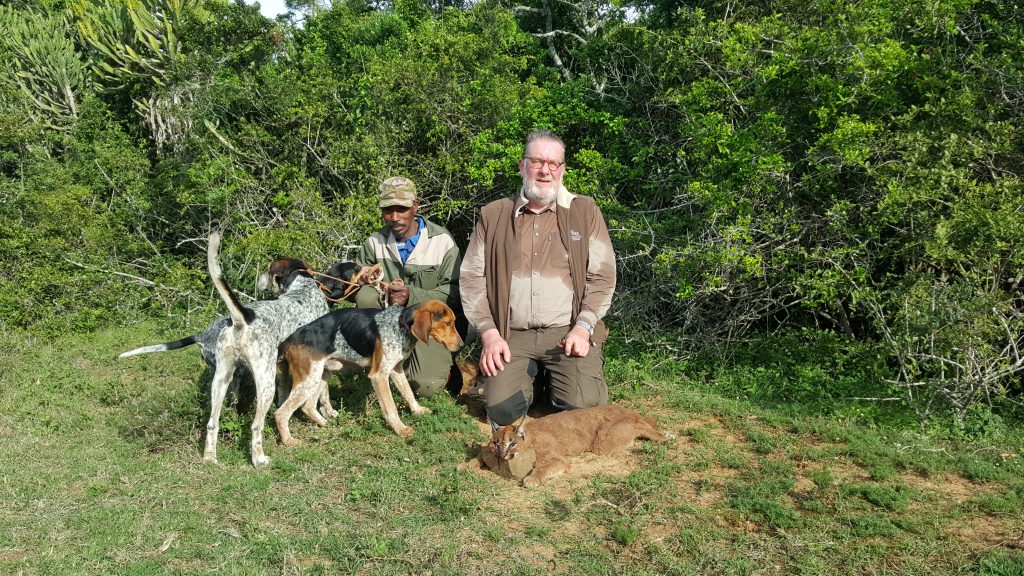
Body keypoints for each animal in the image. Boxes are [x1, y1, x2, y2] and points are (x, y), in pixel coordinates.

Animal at [274, 301, 462, 444]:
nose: (461, 346)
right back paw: (289, 441)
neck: (400, 325)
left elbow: (408, 392)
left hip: (321, 375)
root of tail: (289, 339)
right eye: (448, 323)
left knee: (308, 406)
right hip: (308, 380)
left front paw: (417, 410)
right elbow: (391, 407)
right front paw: (400, 429)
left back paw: (324, 423)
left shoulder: (396, 369)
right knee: (281, 413)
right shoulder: (379, 376)